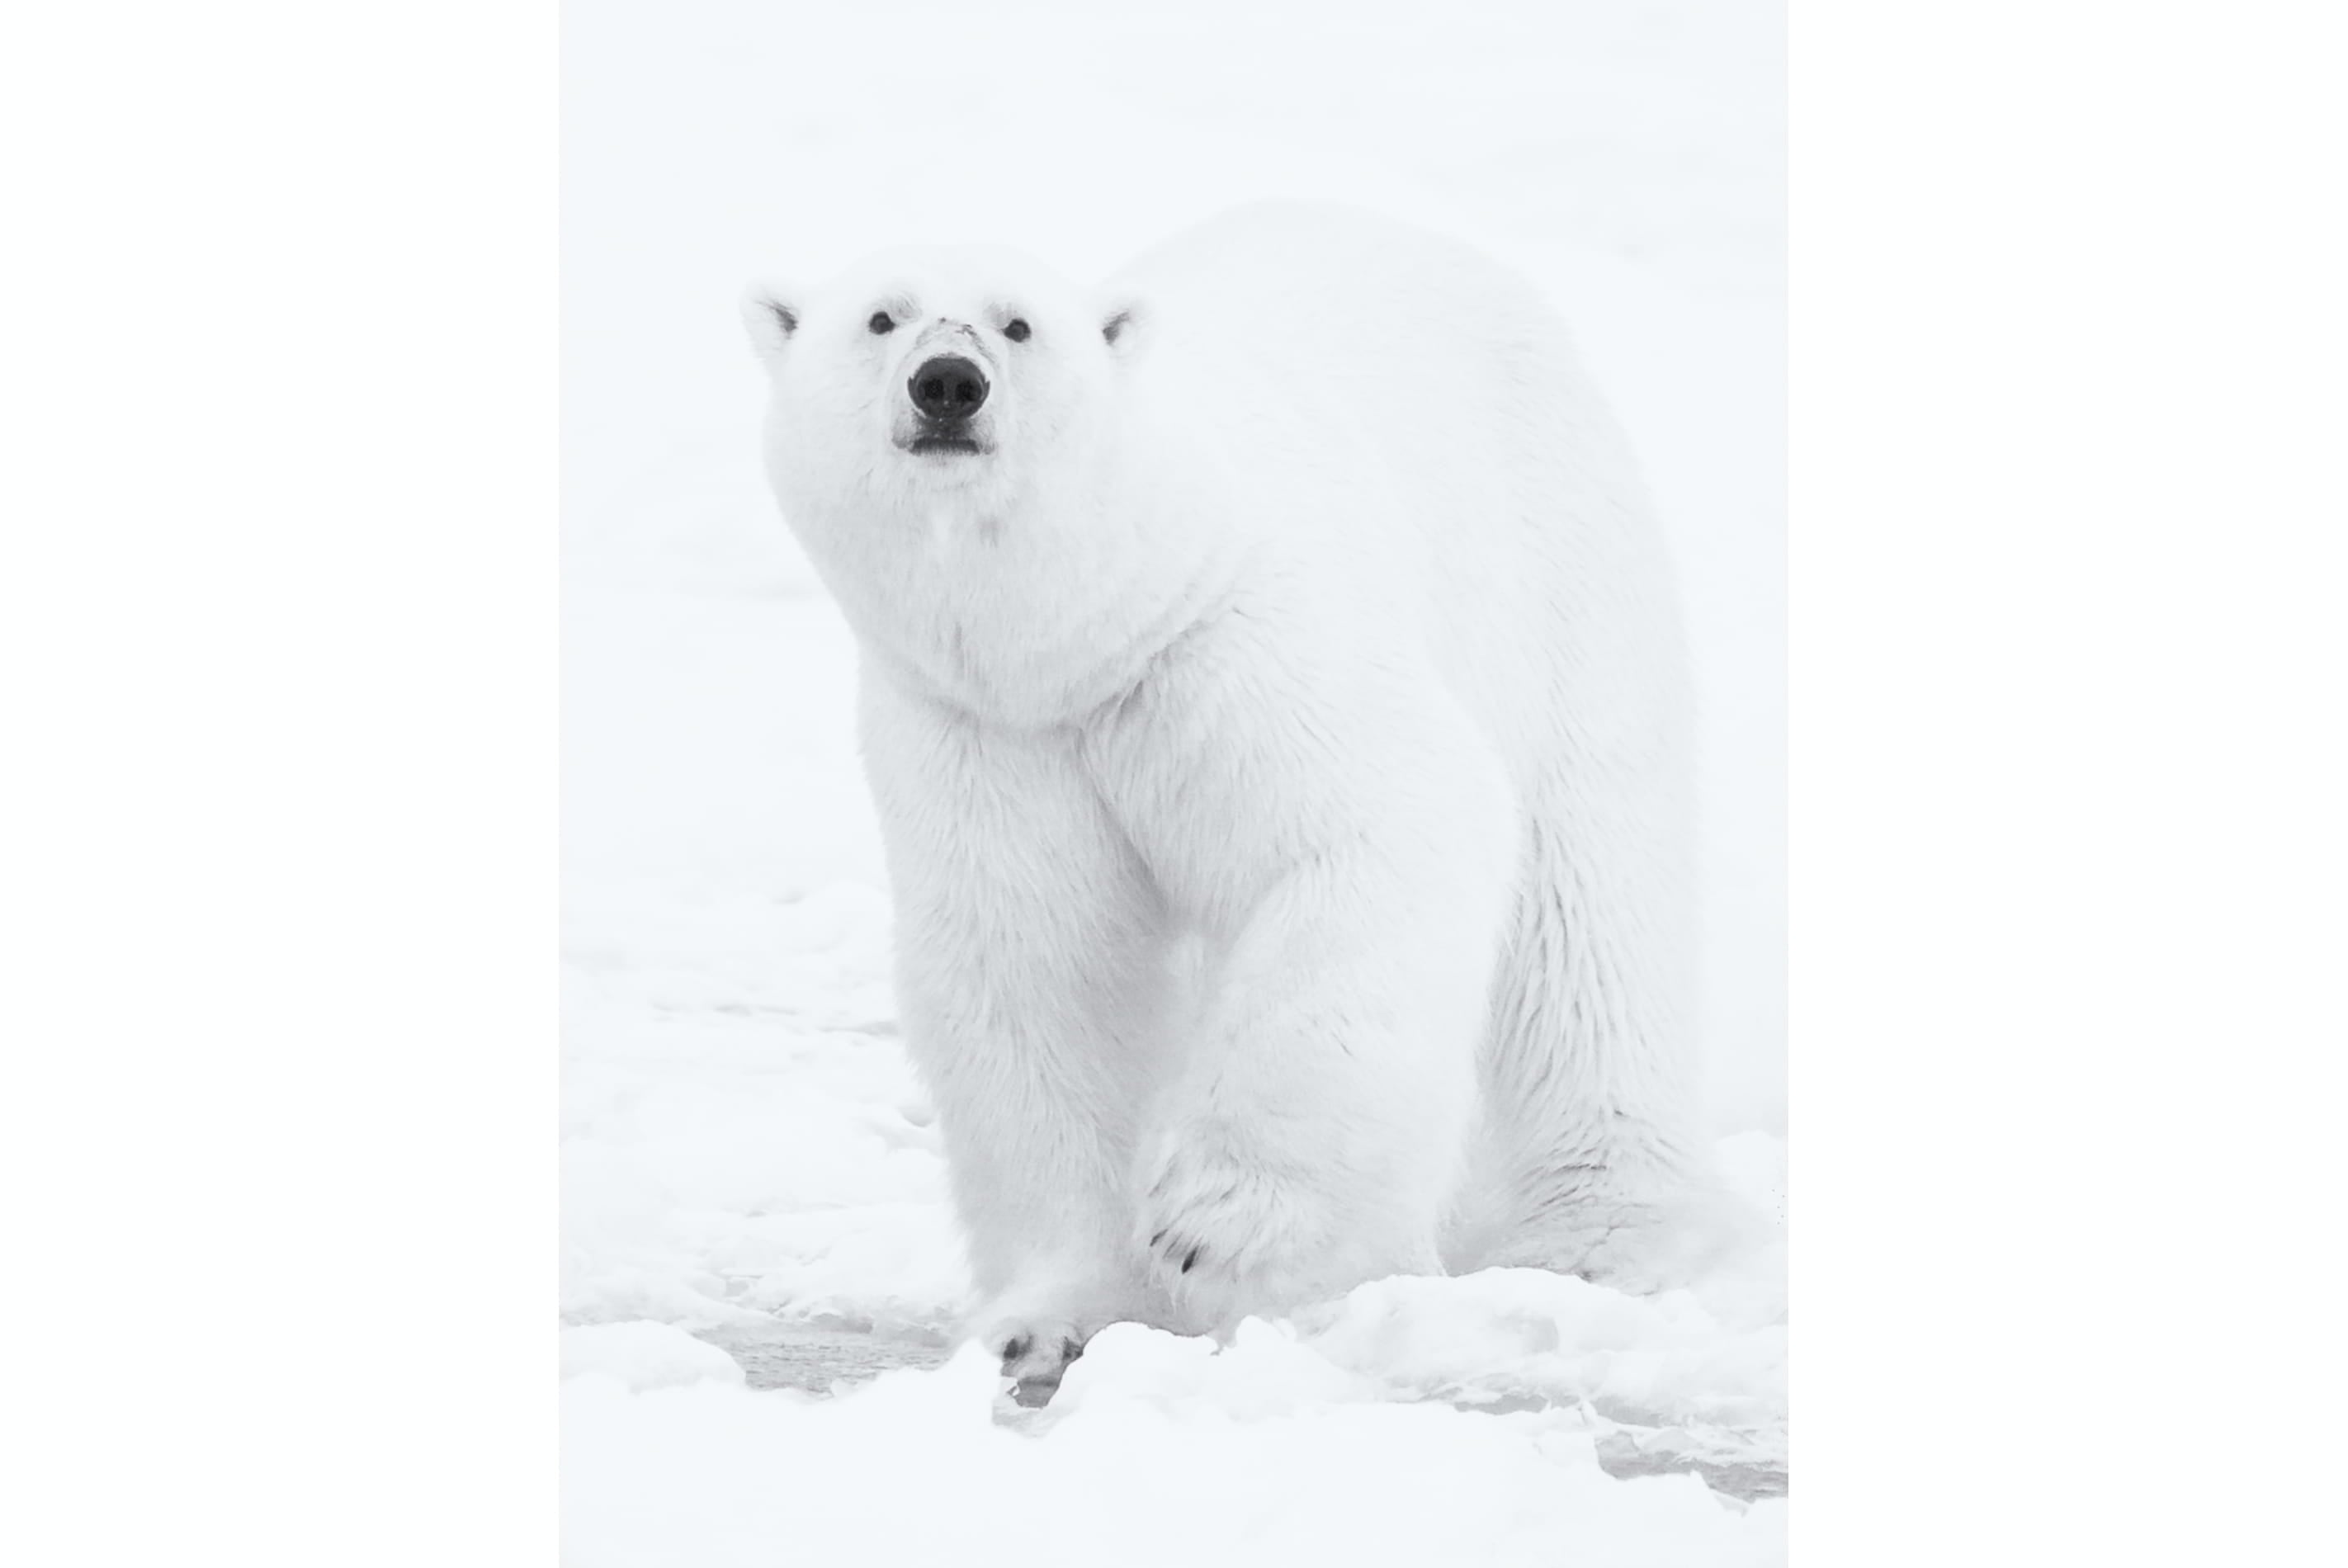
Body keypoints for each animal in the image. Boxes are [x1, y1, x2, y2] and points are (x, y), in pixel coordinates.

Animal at [742, 201, 1706, 1406]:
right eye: (882, 317)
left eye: (1018, 324)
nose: (948, 385)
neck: (1089, 634)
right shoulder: (986, 732)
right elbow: (1037, 972)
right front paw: (1048, 1323)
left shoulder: (1229, 640)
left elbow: (1375, 826)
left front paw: (1218, 1225)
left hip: (1556, 569)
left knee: (1588, 909)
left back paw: (1588, 1239)